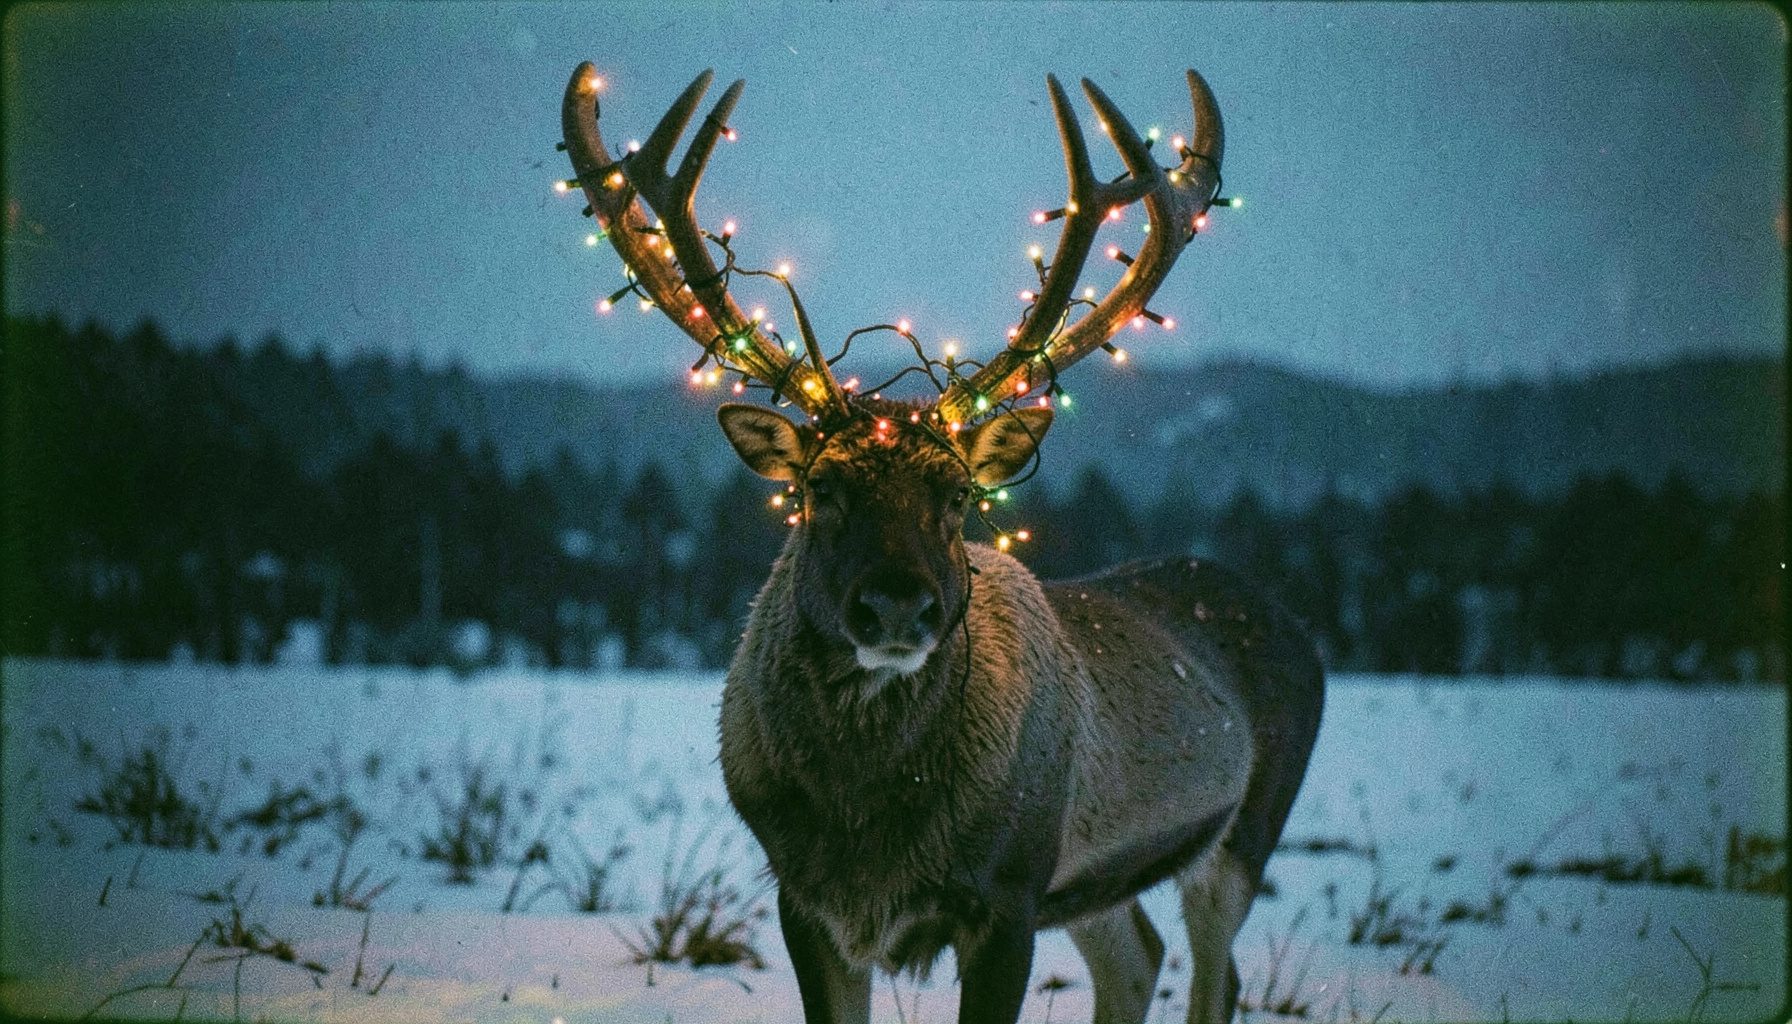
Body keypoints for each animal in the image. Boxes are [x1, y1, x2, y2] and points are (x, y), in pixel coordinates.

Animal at [558, 61, 1324, 1024]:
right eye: (819, 486)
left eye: (959, 494)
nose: (896, 605)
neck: (866, 823)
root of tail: (1294, 625)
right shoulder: (804, 900)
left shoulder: (1008, 892)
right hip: (1096, 883)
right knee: (1137, 956)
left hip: (1245, 831)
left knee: (1216, 976)